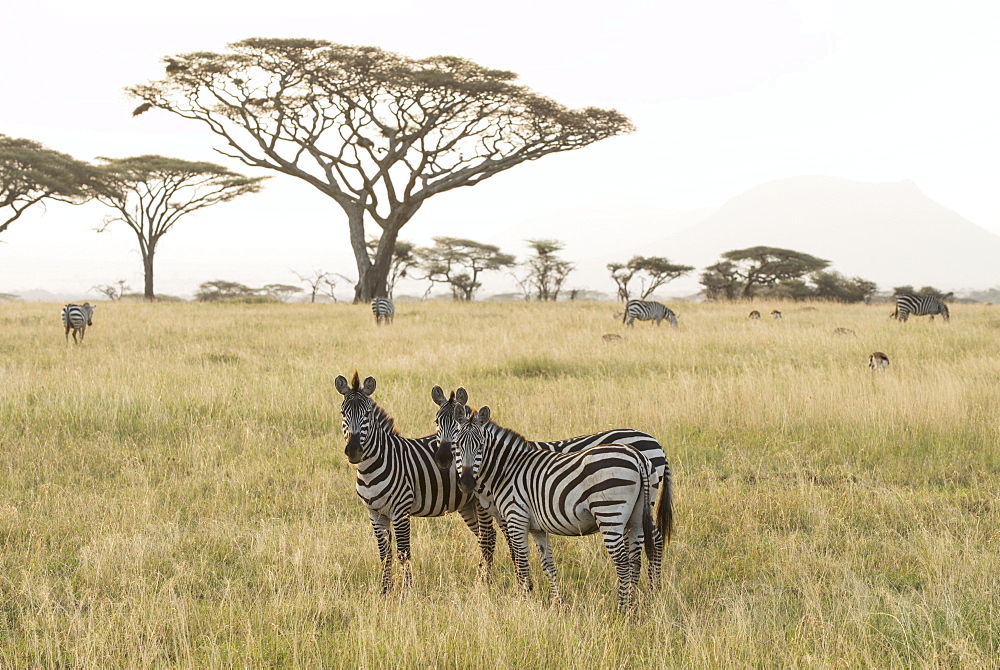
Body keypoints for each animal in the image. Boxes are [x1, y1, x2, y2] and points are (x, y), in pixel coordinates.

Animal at [334, 372, 494, 592]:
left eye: (366, 414)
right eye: (343, 413)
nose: (353, 451)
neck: (370, 468)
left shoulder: (400, 512)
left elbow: (403, 553)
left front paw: (407, 590)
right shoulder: (374, 514)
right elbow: (384, 554)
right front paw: (385, 590)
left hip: (480, 503)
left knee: (488, 537)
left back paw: (486, 582)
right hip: (467, 504)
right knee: (483, 536)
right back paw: (483, 577)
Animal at [454, 404, 672, 616]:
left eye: (481, 446)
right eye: (456, 446)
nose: (466, 483)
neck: (508, 469)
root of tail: (637, 457)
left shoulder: (516, 518)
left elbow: (522, 562)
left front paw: (523, 602)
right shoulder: (538, 528)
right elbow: (548, 565)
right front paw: (556, 603)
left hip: (610, 514)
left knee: (623, 562)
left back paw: (621, 610)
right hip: (637, 517)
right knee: (636, 559)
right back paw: (633, 607)